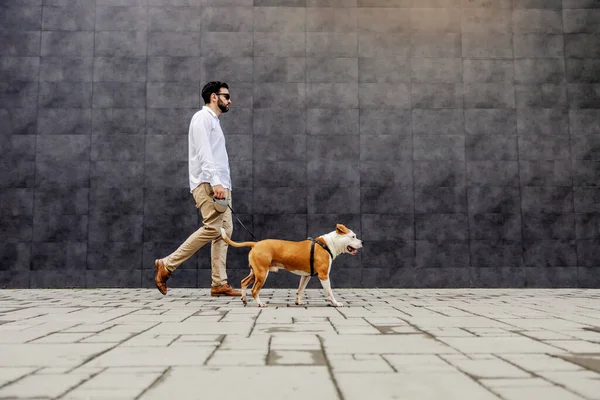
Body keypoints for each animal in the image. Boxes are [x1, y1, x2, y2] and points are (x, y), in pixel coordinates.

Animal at [219, 225, 360, 306]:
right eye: (353, 236)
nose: (362, 242)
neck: (327, 244)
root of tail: (256, 244)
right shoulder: (324, 275)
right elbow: (329, 291)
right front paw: (335, 303)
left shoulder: (306, 276)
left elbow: (300, 290)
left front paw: (298, 301)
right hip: (262, 273)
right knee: (254, 290)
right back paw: (260, 304)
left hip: (255, 272)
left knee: (243, 282)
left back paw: (244, 299)